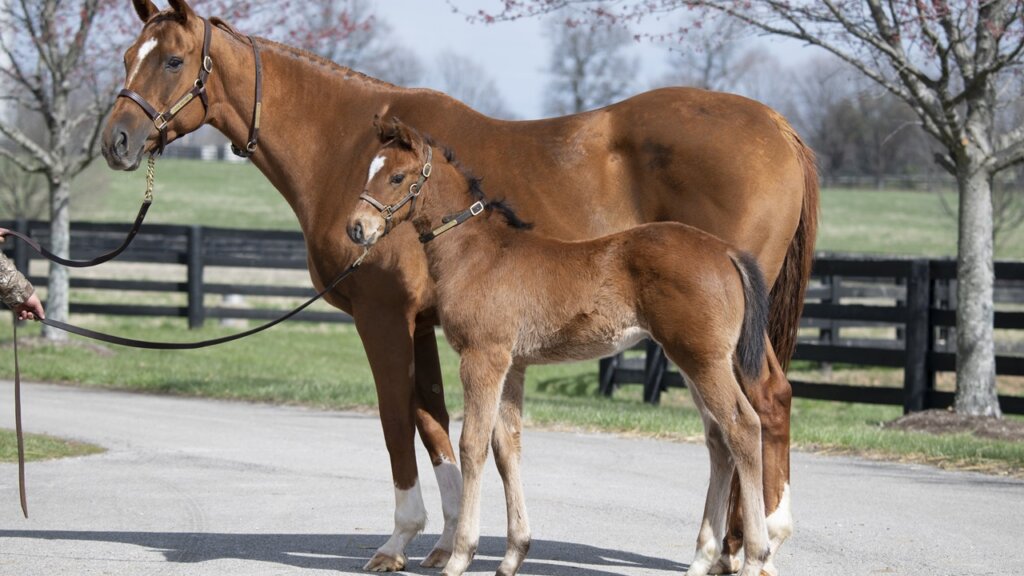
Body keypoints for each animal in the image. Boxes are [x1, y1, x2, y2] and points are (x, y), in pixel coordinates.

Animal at [347, 115, 773, 576]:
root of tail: (726, 251)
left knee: (743, 428)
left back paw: (756, 557)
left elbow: (472, 445)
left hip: (703, 360)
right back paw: (701, 559)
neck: (476, 253)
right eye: (369, 169)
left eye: (397, 176)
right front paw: (513, 555)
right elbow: (506, 446)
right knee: (718, 441)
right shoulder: (512, 364)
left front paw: (460, 555)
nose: (356, 227)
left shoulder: (483, 357)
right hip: (692, 360)